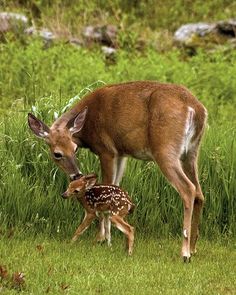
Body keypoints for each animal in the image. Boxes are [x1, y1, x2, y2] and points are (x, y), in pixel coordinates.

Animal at [28, 80, 206, 262]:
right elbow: (115, 185)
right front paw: (110, 236)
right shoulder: (121, 153)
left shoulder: (106, 150)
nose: (76, 174)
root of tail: (196, 108)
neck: (88, 126)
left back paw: (185, 253)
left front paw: (102, 239)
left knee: (188, 189)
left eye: (74, 148)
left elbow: (106, 184)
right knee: (199, 193)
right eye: (58, 153)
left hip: (165, 149)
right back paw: (193, 248)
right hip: (191, 152)